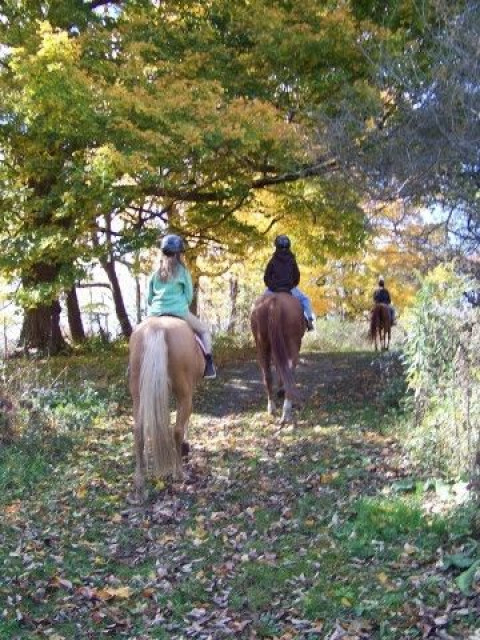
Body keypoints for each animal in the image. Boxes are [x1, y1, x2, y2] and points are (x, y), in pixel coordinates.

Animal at [127, 316, 204, 500]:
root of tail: (157, 327)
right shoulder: (189, 391)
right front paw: (186, 445)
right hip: (184, 393)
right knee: (176, 430)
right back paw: (179, 473)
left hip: (138, 395)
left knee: (138, 432)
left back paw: (140, 482)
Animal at [249, 292, 306, 422]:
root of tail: (273, 302)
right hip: (293, 344)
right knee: (289, 371)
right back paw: (286, 412)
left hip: (262, 344)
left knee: (267, 375)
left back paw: (272, 408)